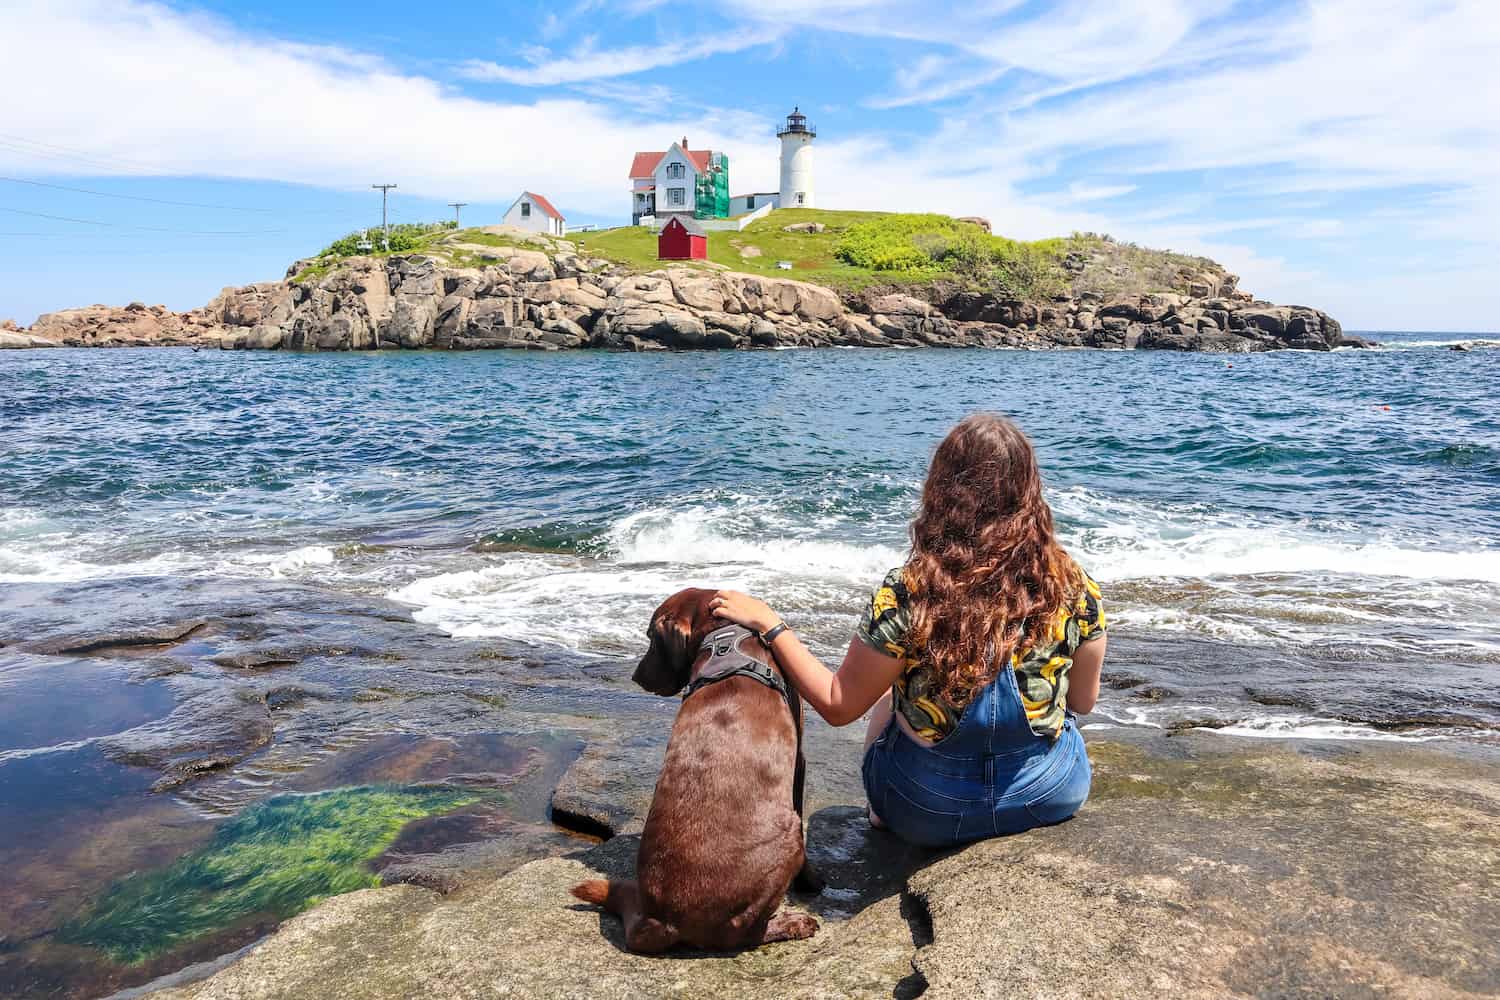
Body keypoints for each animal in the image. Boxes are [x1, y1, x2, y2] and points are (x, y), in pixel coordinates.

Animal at [570, 587, 822, 953]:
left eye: (650, 637)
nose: (635, 678)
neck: (725, 636)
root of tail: (662, 920)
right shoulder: (800, 757)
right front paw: (812, 881)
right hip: (789, 836)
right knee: (743, 934)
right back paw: (791, 924)